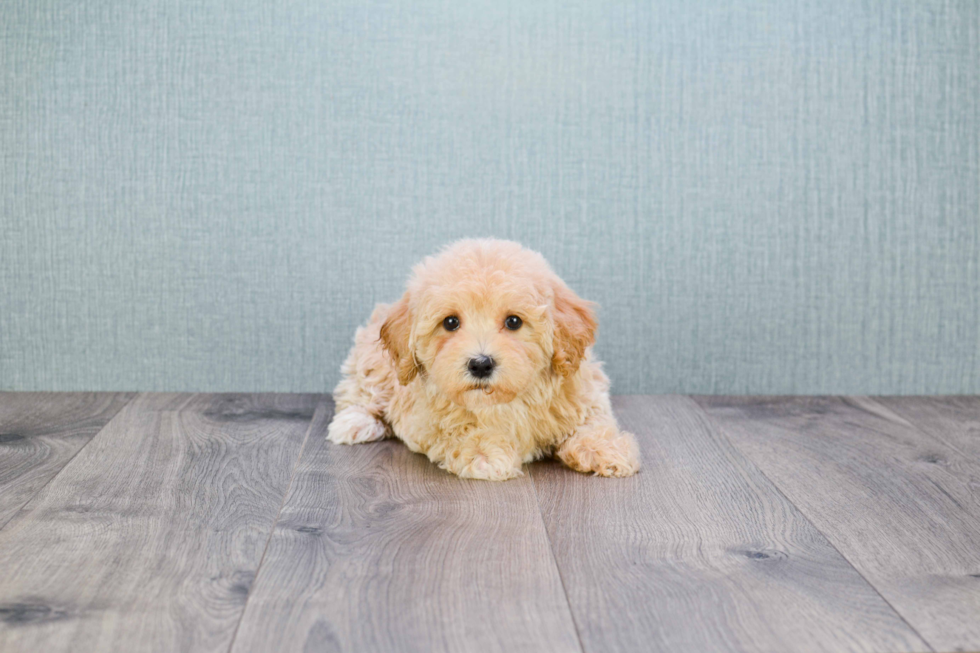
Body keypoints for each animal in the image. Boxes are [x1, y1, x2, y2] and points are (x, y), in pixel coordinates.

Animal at [326, 238, 640, 478]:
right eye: (450, 322)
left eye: (514, 321)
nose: (480, 364)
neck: (504, 402)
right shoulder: (424, 420)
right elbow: (455, 431)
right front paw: (485, 453)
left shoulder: (583, 393)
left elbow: (592, 421)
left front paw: (606, 450)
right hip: (374, 364)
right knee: (358, 391)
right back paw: (354, 423)